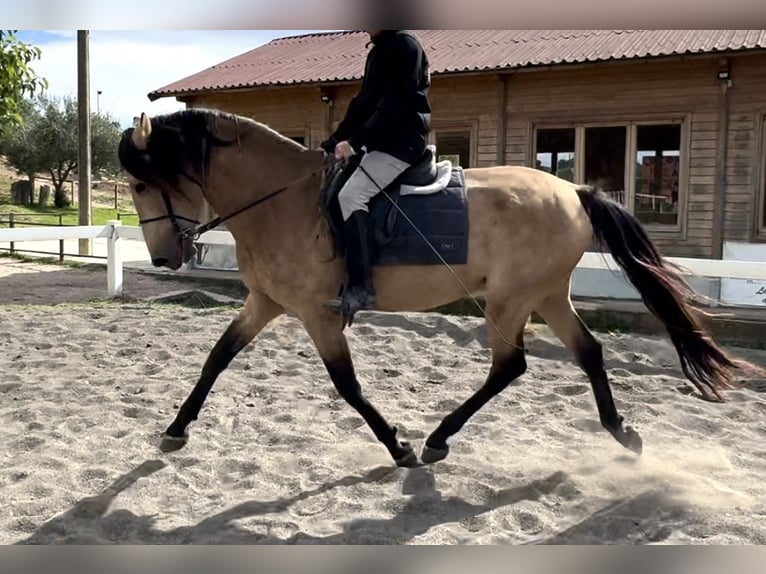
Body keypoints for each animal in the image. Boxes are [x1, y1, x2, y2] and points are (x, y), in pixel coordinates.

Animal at [117, 109, 760, 472]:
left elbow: (348, 386)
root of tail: (575, 192)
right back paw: (621, 433)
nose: (164, 257)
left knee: (510, 366)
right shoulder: (266, 303)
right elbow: (217, 358)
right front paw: (175, 431)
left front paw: (397, 448)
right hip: (547, 295)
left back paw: (436, 440)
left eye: (142, 183)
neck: (282, 201)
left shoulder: (317, 315)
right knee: (588, 354)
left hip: (509, 301)